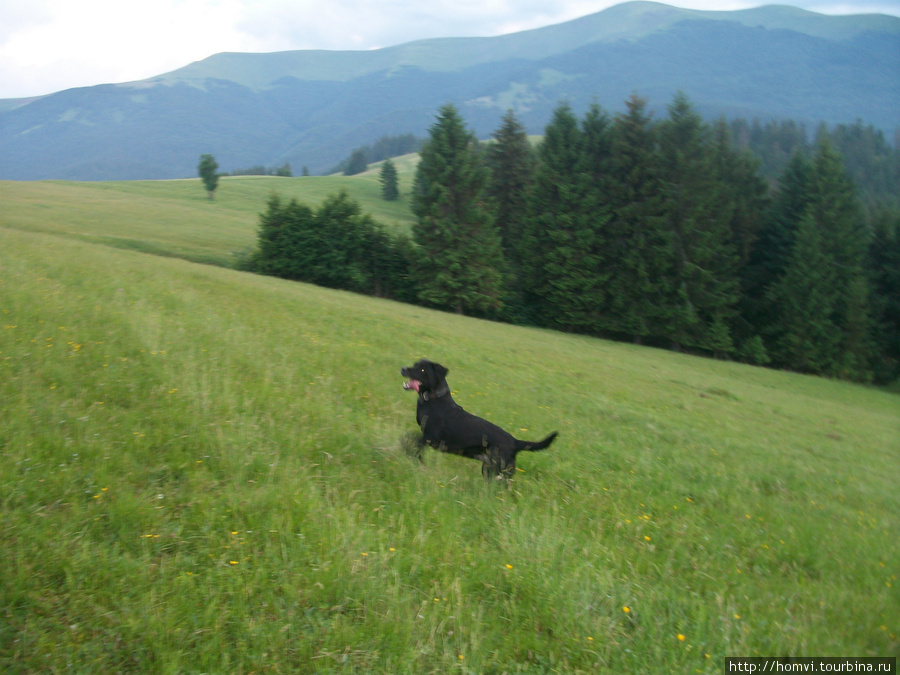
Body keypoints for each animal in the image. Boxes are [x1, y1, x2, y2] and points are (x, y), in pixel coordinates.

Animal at [400, 360, 556, 480]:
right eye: (414, 364)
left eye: (422, 369)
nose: (403, 369)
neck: (433, 398)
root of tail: (515, 442)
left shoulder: (432, 438)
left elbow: (413, 440)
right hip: (489, 469)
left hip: (500, 471)